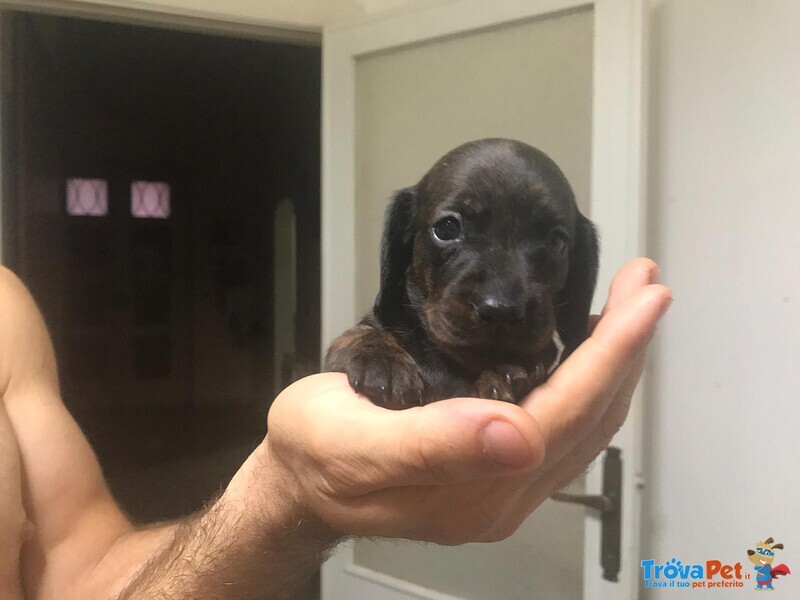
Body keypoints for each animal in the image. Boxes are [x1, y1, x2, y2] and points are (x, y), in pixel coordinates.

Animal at [326, 137, 600, 408]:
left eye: (556, 241)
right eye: (447, 228)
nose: (501, 310)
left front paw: (514, 371)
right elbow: (355, 337)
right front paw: (381, 359)